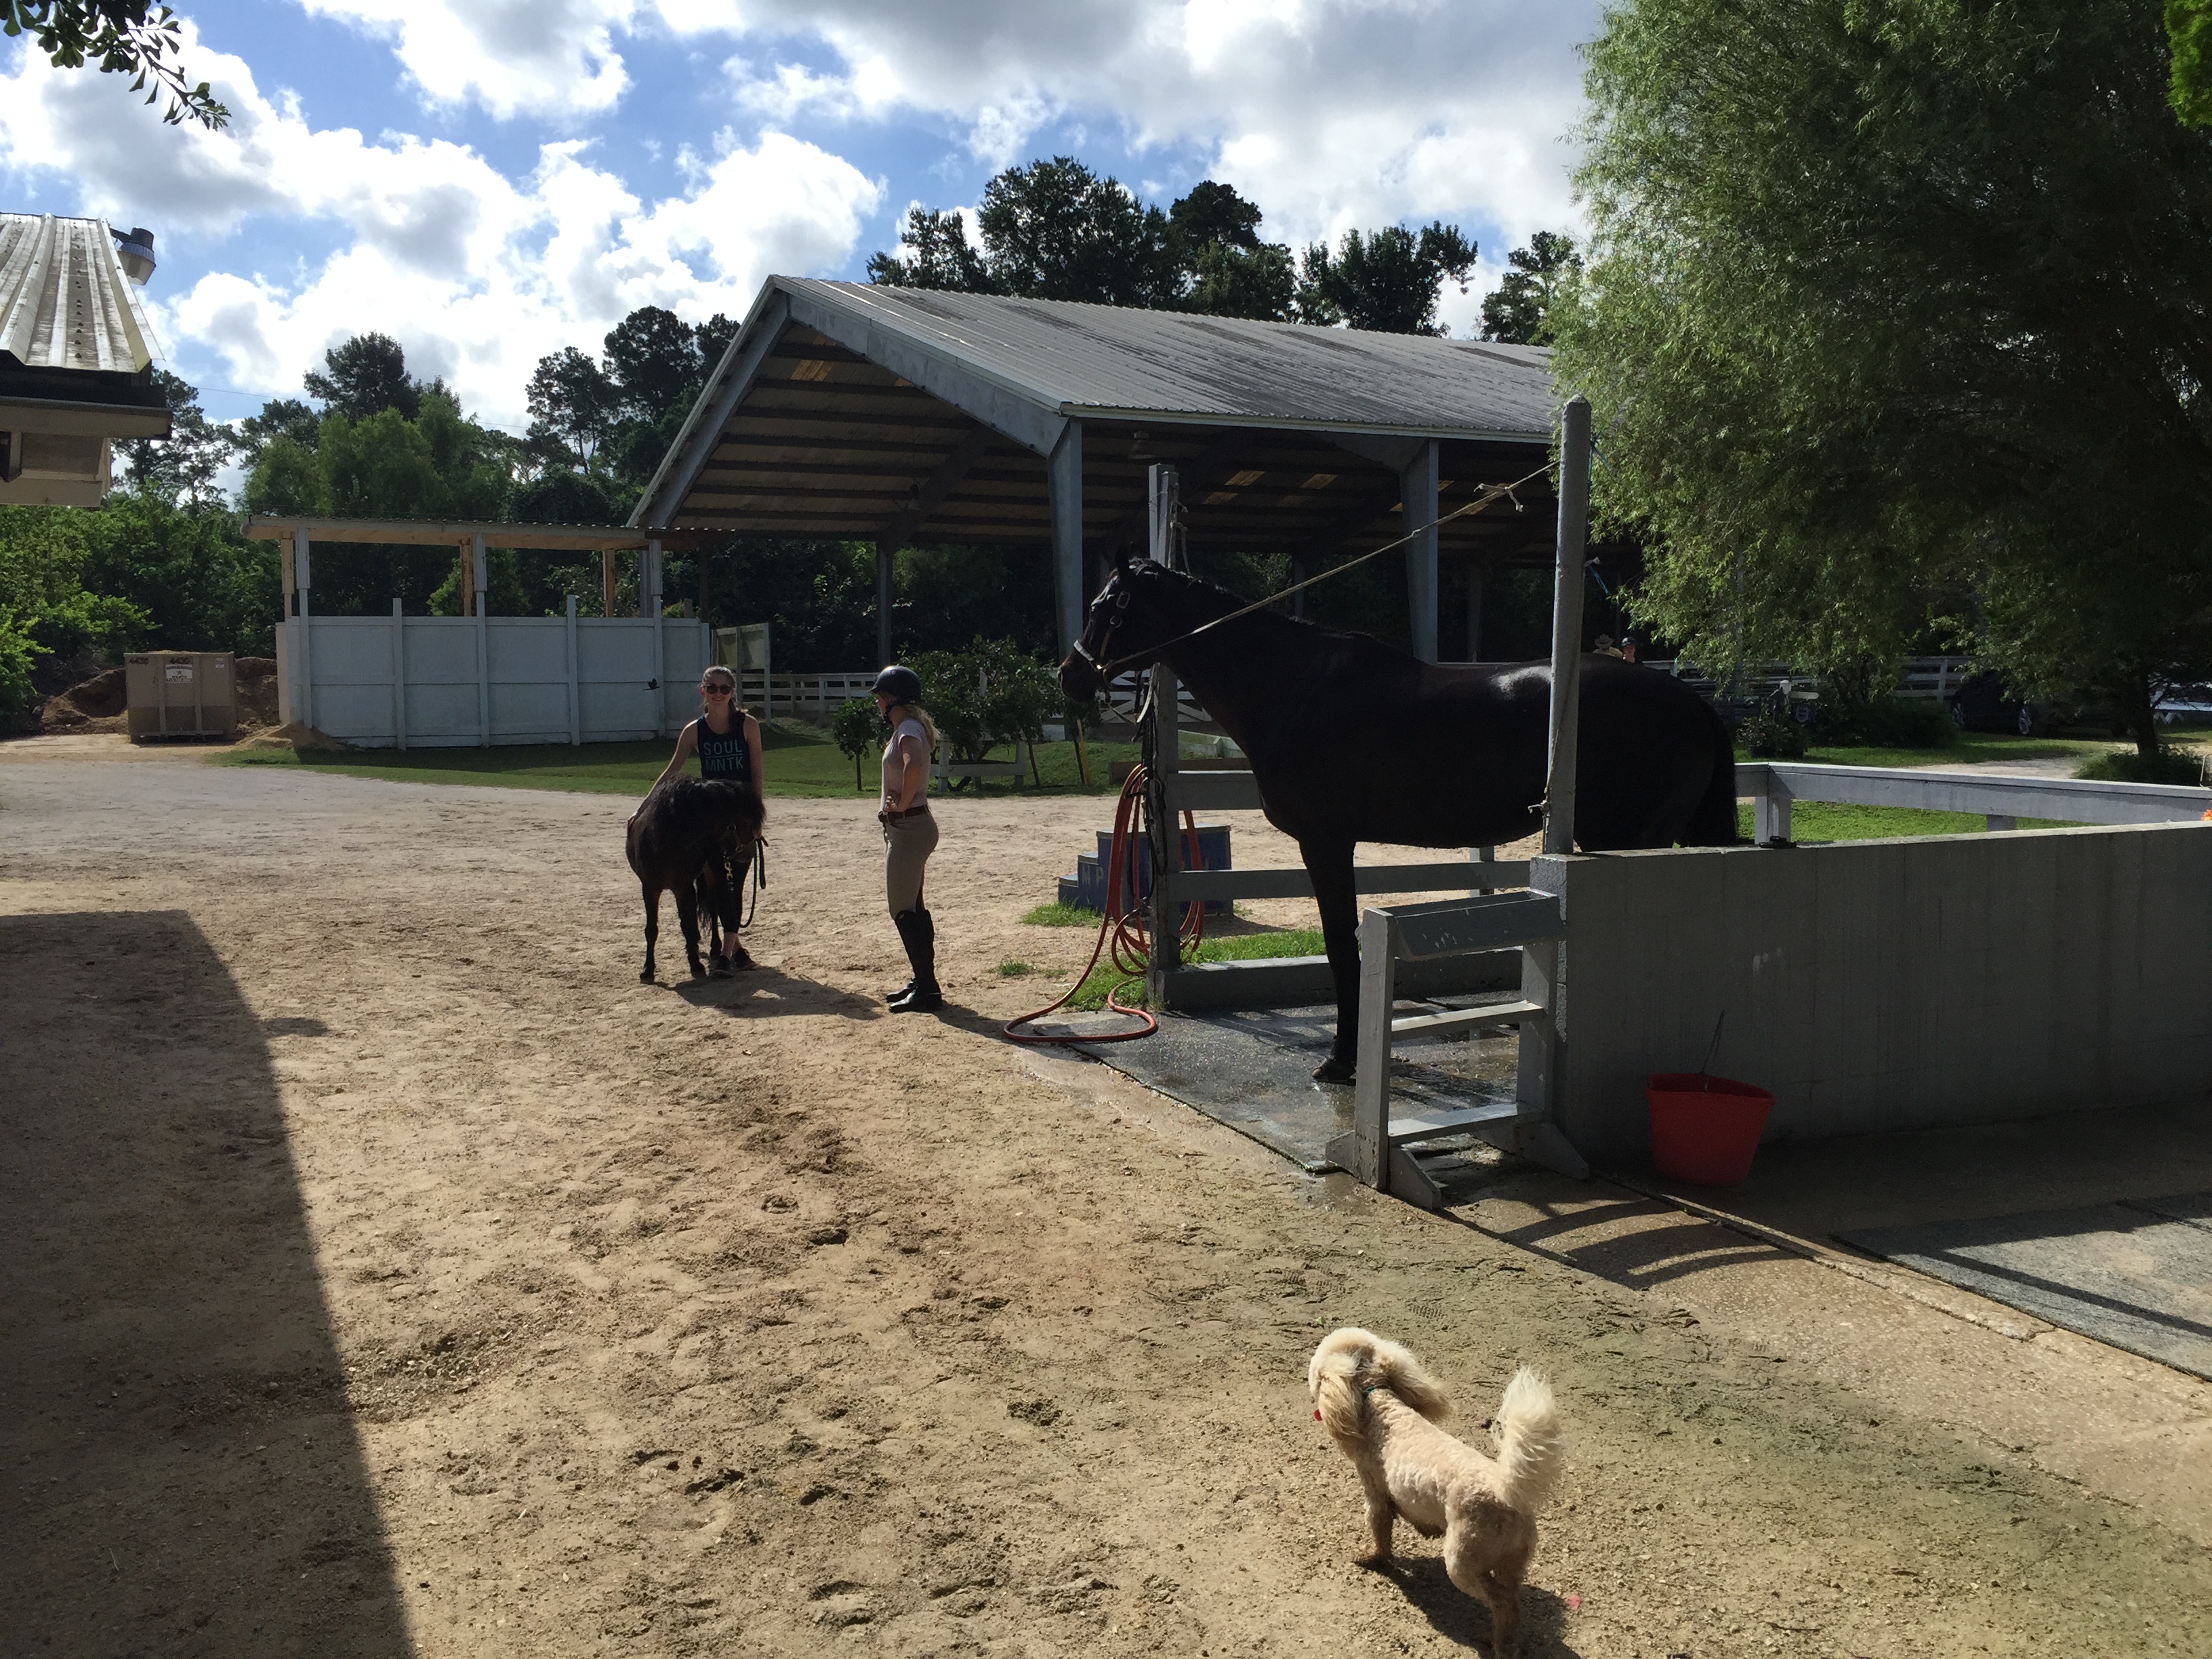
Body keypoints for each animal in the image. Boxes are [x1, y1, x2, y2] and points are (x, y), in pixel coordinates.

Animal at [623, 778, 769, 986]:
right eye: (747, 820)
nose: (749, 854)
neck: (664, 842)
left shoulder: (683, 888)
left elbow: (688, 925)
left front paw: (696, 965)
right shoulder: (650, 889)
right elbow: (652, 929)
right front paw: (648, 970)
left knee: (714, 908)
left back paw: (716, 949)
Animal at [1061, 553, 1734, 1084]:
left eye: (1102, 606)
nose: (1069, 676)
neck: (1291, 686)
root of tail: (1693, 702)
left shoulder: (1326, 842)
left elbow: (1341, 947)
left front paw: (1341, 1060)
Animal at [1300, 1327, 1565, 1659]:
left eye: (1316, 1370)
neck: (1378, 1406)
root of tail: (1506, 1493)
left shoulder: (1376, 1494)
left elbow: (1380, 1531)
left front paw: (1373, 1558)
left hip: (1462, 1562)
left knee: (1500, 1601)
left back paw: (1499, 1647)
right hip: (1512, 1562)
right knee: (1511, 1601)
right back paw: (1502, 1640)